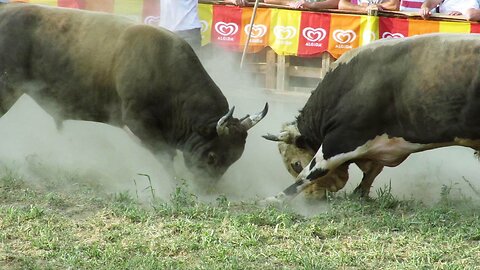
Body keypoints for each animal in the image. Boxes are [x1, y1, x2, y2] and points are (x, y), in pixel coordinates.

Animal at [0, 3, 268, 180]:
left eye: (233, 159)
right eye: (212, 157)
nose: (207, 190)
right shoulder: (138, 122)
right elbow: (165, 155)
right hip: (7, 89)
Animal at [264, 33, 480, 202]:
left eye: (295, 164)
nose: (312, 198)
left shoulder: (341, 140)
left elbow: (310, 172)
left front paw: (274, 199)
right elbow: (373, 171)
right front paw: (360, 194)